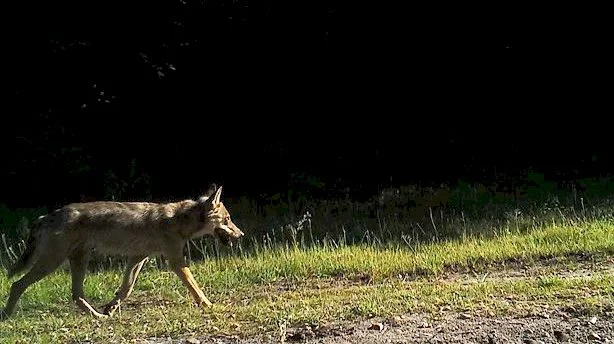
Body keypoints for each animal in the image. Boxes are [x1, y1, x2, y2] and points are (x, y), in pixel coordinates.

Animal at [0, 184, 245, 318]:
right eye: (228, 220)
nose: (241, 234)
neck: (178, 220)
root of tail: (46, 217)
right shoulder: (175, 261)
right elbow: (195, 288)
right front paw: (208, 305)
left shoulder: (137, 258)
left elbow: (126, 288)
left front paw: (111, 306)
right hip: (52, 263)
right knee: (17, 285)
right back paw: (6, 315)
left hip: (77, 261)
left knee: (76, 295)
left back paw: (98, 316)